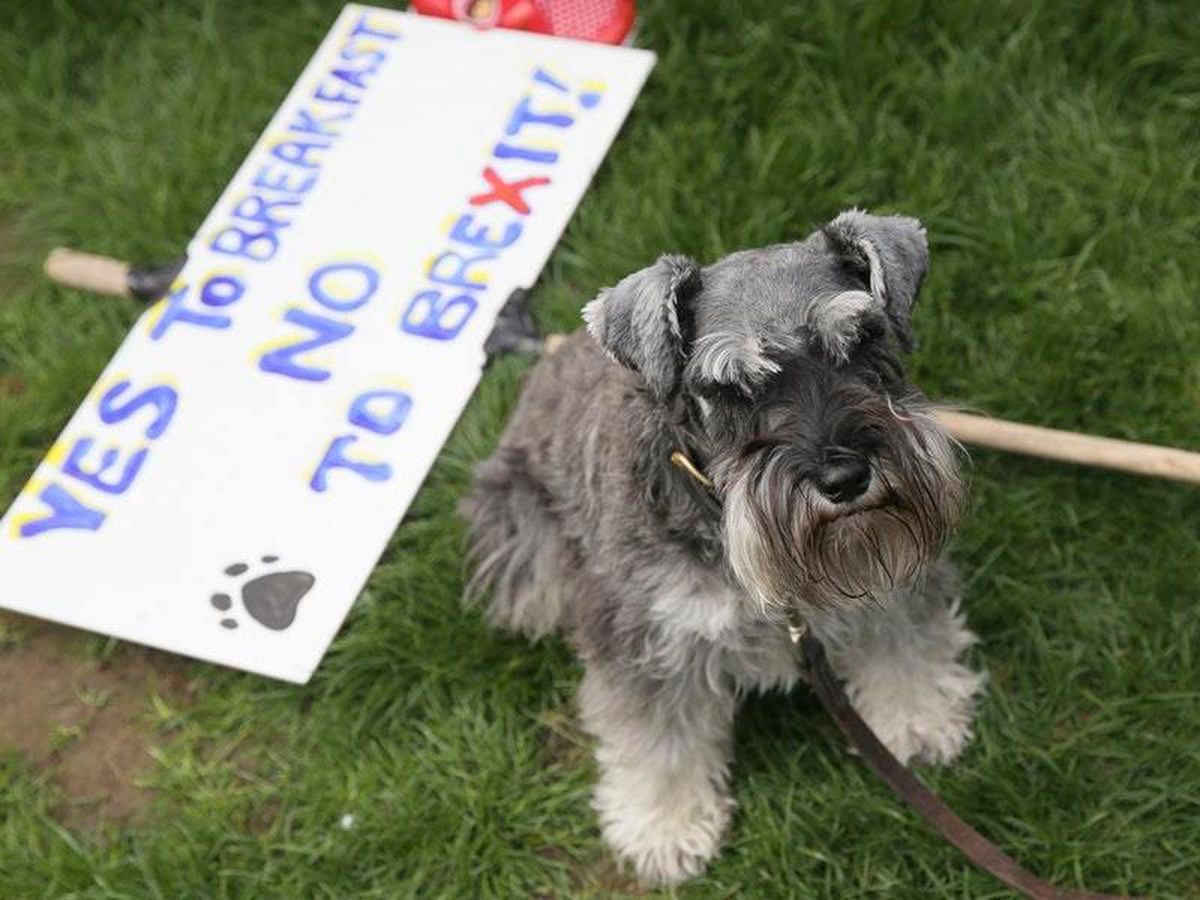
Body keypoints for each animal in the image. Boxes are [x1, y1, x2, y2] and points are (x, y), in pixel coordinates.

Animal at [458, 211, 984, 888]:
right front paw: (665, 829)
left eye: (863, 340)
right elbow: (658, 743)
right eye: (731, 388)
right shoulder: (649, 643)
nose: (844, 478)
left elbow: (904, 646)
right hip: (522, 528)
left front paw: (919, 717)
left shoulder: (882, 576)